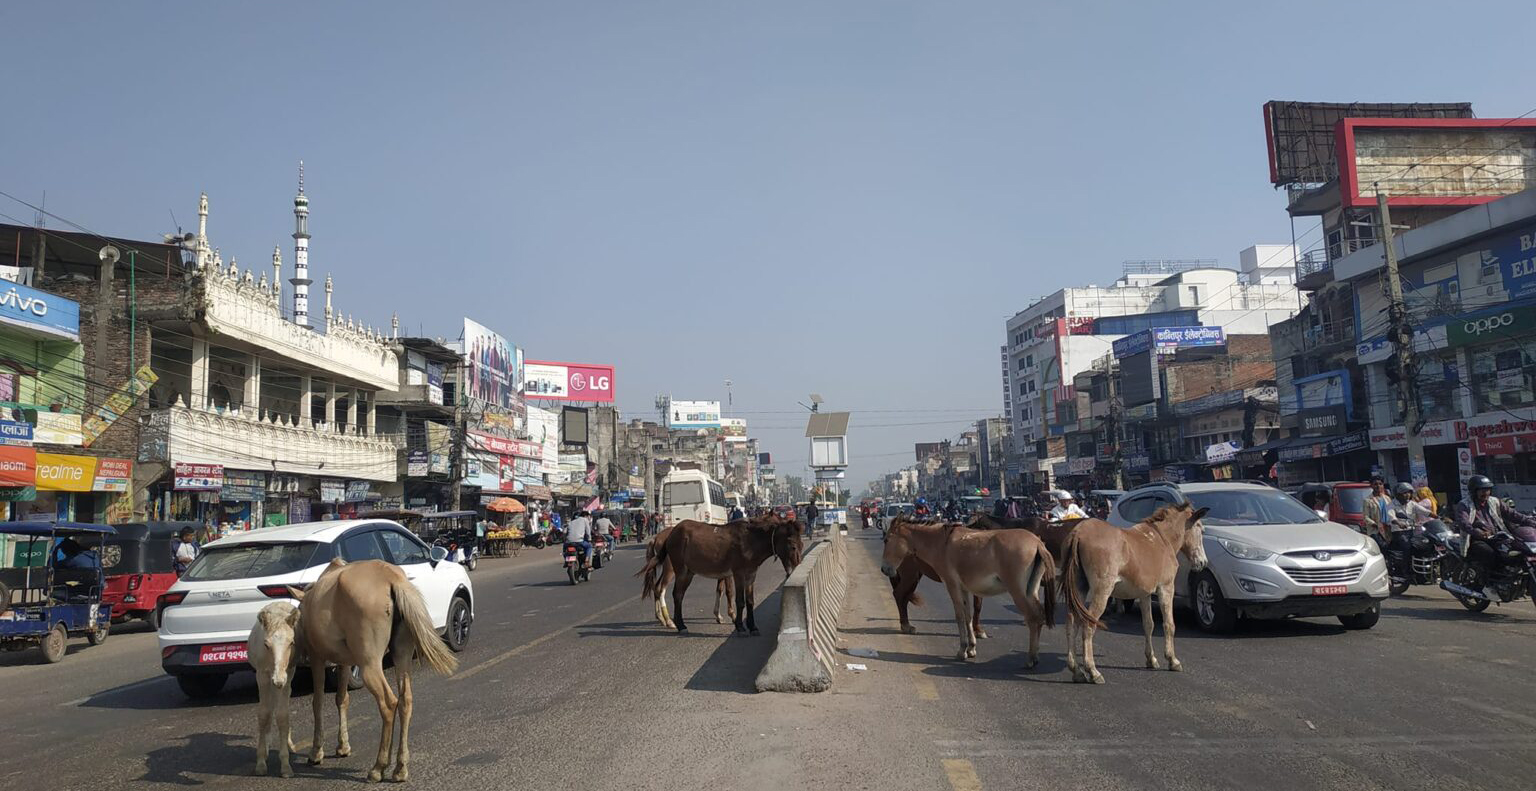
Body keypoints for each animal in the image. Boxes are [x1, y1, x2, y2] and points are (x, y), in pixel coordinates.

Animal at [248, 605, 299, 777]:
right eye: (266, 645)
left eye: (291, 643)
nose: (278, 680)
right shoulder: (262, 675)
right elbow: (264, 714)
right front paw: (260, 762)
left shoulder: (287, 674)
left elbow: (283, 715)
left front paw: (285, 765)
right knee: (269, 710)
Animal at [288, 559, 454, 783]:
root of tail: (393, 580)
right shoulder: (345, 662)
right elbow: (342, 699)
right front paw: (343, 746)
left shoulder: (317, 658)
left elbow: (318, 702)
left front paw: (316, 752)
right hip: (401, 654)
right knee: (405, 700)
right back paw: (400, 767)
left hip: (369, 664)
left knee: (389, 703)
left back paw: (379, 767)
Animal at [638, 512, 804, 638]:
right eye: (793, 546)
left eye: (801, 545)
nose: (794, 569)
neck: (750, 541)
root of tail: (670, 534)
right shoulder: (738, 573)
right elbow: (739, 600)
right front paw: (740, 626)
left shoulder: (751, 574)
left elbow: (750, 601)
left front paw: (753, 627)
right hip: (679, 570)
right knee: (674, 593)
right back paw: (678, 624)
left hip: (689, 572)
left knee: (675, 593)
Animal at [878, 522, 1056, 666]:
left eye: (886, 540)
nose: (884, 569)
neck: (941, 544)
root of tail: (1037, 543)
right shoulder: (963, 589)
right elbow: (968, 615)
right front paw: (971, 648)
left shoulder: (952, 586)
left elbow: (959, 616)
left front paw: (962, 650)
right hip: (1030, 590)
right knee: (1039, 616)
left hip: (1018, 591)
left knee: (1033, 618)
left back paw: (1031, 659)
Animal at [1062, 506, 1204, 688]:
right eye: (1200, 528)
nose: (1203, 563)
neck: (1162, 540)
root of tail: (1079, 533)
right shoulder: (1166, 588)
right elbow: (1169, 625)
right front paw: (1172, 660)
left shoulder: (1144, 594)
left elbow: (1148, 624)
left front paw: (1151, 659)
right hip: (1102, 591)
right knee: (1088, 624)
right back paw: (1093, 671)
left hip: (1079, 588)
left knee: (1071, 622)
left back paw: (1077, 671)